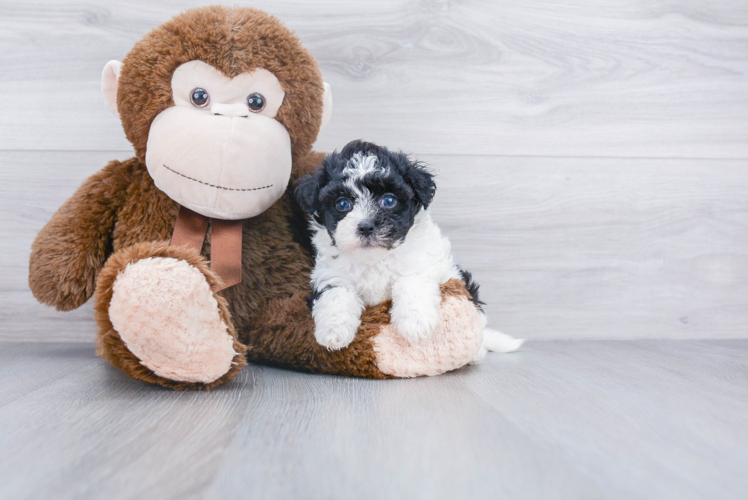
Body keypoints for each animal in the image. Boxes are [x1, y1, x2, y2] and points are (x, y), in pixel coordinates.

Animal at [296, 140, 524, 356]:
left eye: (389, 200)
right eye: (342, 204)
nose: (366, 226)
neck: (375, 258)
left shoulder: (421, 262)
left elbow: (410, 283)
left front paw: (415, 323)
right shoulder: (331, 275)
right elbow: (336, 295)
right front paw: (334, 332)